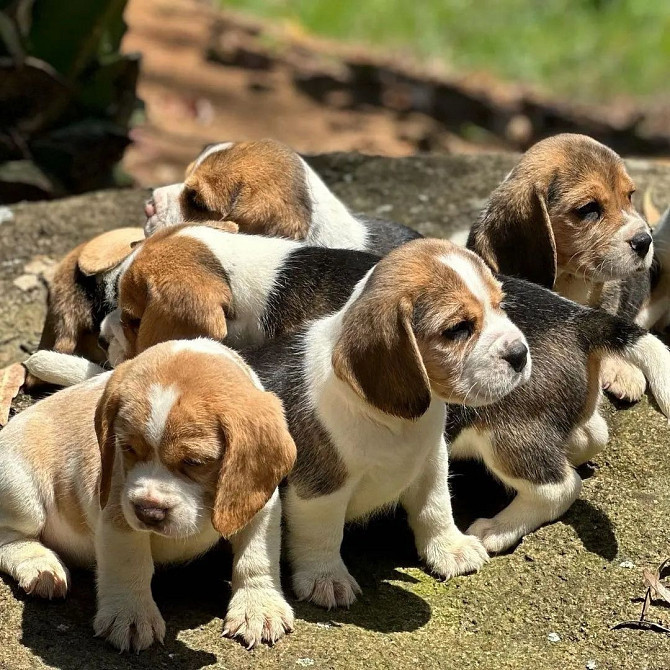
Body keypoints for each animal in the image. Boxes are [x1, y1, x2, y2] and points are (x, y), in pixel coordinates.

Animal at [0, 342, 300, 652]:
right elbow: (130, 562)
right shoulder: (118, 514)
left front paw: (259, 608)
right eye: (128, 448)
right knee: (10, 538)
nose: (149, 512)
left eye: (194, 461)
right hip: (23, 494)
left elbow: (256, 555)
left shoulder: (260, 506)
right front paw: (130, 615)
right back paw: (40, 566)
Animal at [468, 133, 670, 402]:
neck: (568, 276)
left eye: (629, 196)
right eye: (588, 209)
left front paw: (622, 369)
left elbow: (610, 319)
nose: (645, 240)